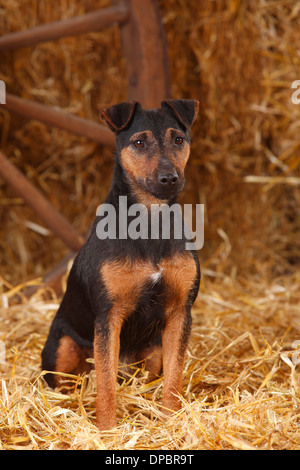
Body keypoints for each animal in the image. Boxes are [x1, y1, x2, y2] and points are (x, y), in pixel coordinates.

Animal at [41, 99, 200, 430]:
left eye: (178, 139)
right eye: (139, 142)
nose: (169, 178)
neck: (149, 222)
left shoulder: (181, 312)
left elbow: (174, 379)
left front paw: (171, 422)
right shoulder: (108, 316)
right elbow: (105, 384)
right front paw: (107, 430)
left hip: (154, 350)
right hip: (63, 348)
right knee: (66, 384)